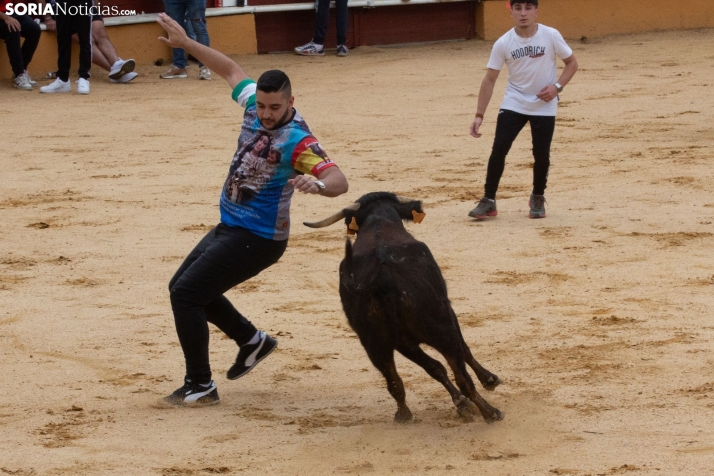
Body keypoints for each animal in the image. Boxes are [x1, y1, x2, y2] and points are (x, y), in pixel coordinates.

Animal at [304, 192, 504, 422]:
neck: (378, 221)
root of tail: (381, 280)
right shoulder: (447, 310)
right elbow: (464, 350)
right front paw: (489, 380)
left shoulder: (399, 340)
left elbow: (434, 368)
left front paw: (462, 403)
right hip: (439, 328)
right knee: (461, 373)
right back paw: (490, 412)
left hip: (375, 342)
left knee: (397, 380)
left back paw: (405, 414)